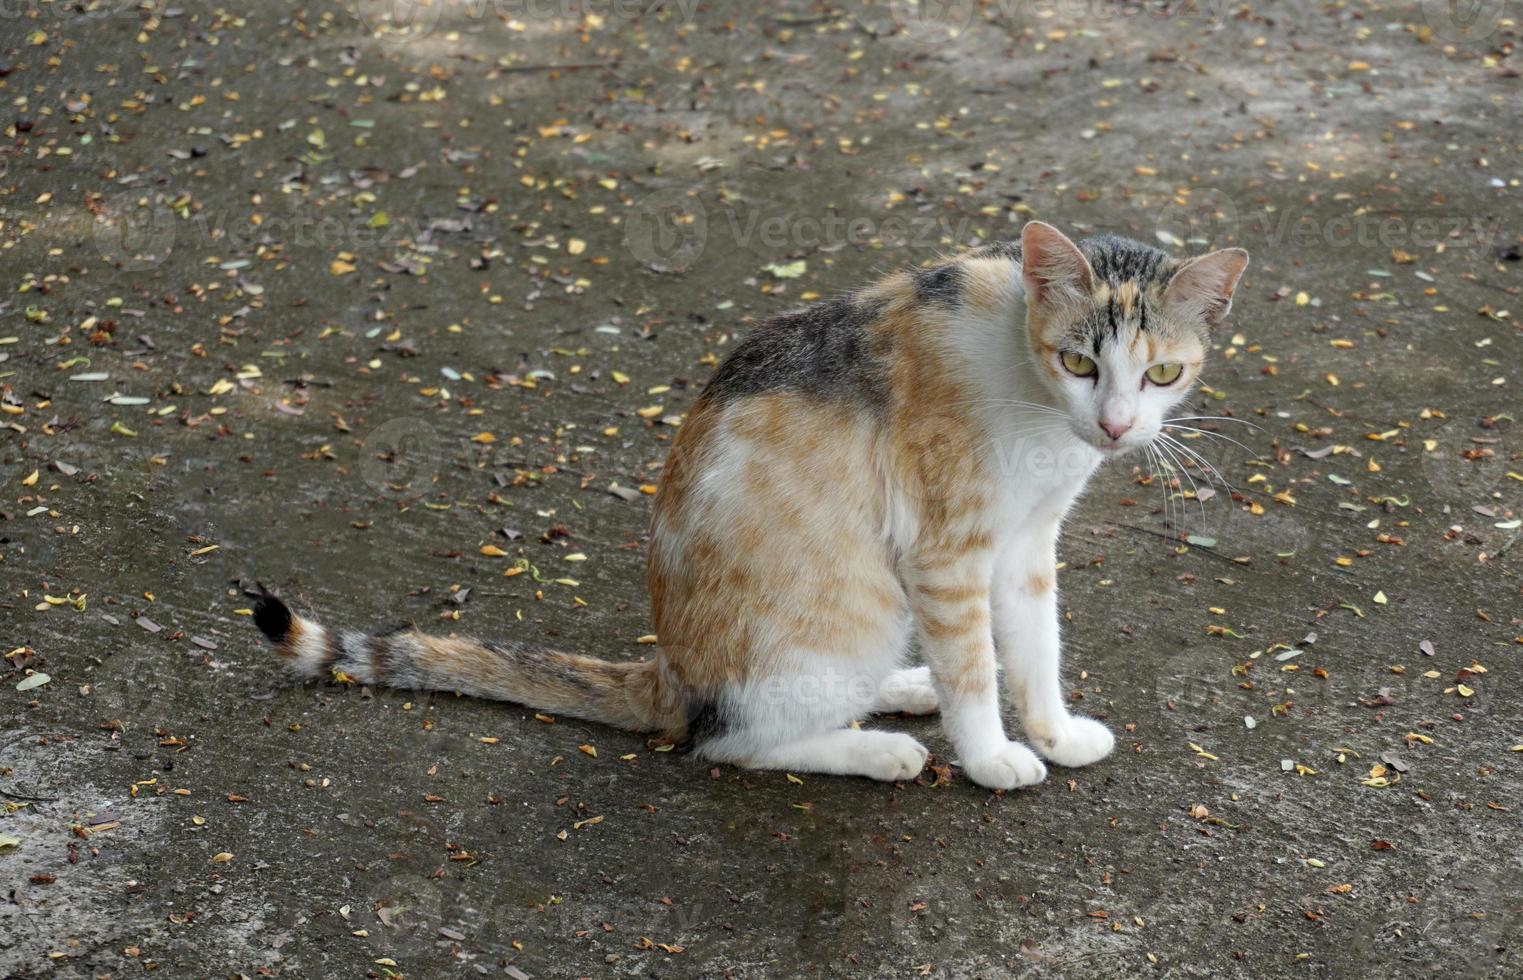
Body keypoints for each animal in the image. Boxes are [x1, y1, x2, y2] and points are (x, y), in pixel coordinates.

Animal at [252, 222, 1248, 792]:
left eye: (1163, 373)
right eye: (1079, 361)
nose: (1114, 425)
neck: (1032, 392)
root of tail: (667, 671)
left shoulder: (1026, 544)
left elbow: (1035, 649)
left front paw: (1051, 730)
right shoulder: (948, 553)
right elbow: (975, 673)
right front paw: (994, 756)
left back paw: (901, 689)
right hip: (860, 603)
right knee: (729, 741)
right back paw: (873, 749)